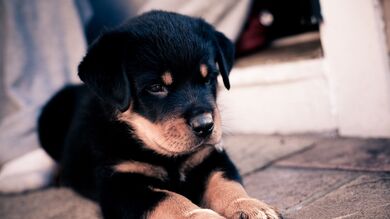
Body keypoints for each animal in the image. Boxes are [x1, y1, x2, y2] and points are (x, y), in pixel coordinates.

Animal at [38, 10, 280, 219]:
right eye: (156, 87)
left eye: (209, 78)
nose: (205, 125)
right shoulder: (119, 185)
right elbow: (169, 199)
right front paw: (201, 216)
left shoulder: (211, 156)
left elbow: (226, 184)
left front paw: (251, 206)